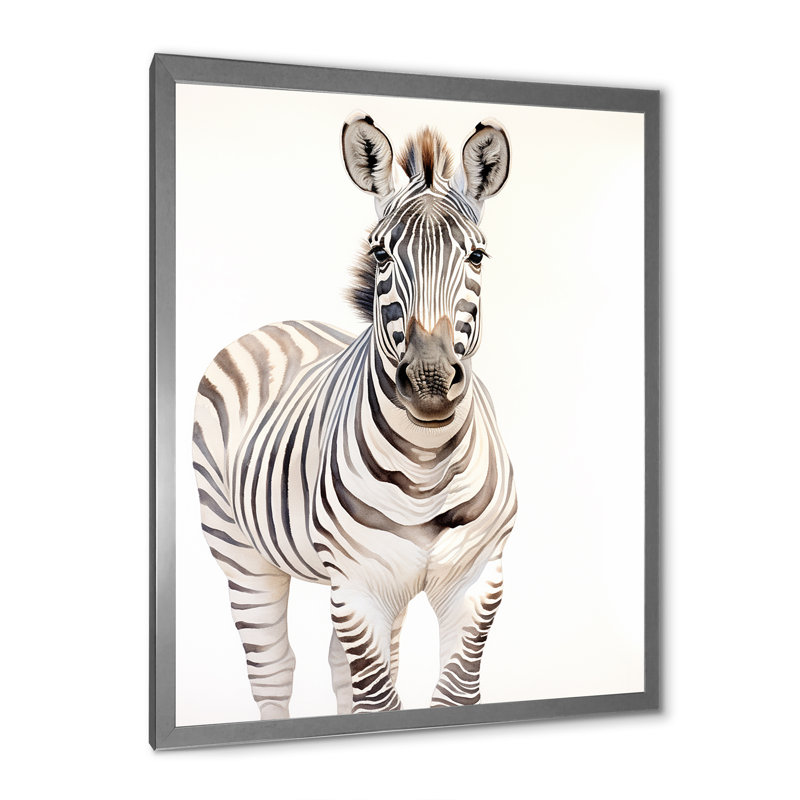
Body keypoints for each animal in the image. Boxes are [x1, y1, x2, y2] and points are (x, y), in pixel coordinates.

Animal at [192, 113, 517, 718]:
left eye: (477, 257)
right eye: (382, 255)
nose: (430, 379)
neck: (427, 463)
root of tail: (282, 323)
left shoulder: (477, 579)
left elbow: (453, 694)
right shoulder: (358, 585)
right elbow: (377, 704)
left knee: (343, 670)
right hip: (241, 554)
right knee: (273, 671)